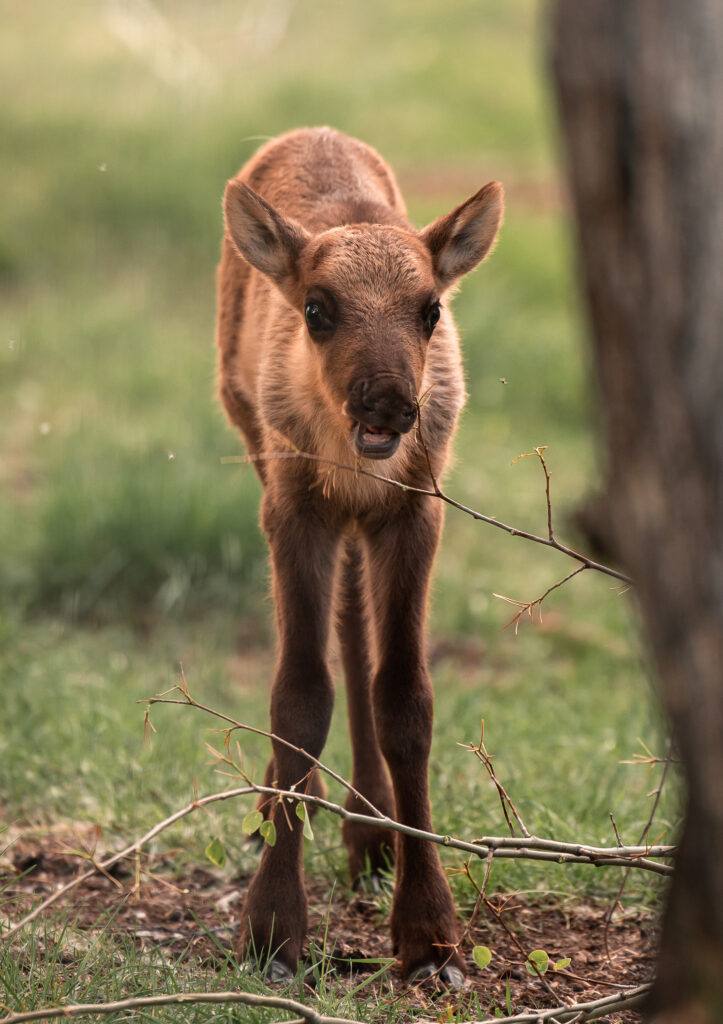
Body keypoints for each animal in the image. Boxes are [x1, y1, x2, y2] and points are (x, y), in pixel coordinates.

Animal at [214, 128, 501, 983]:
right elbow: (297, 696)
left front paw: (429, 934)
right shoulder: (294, 504)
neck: (351, 462)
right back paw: (286, 805)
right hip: (251, 436)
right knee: (331, 633)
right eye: (317, 309)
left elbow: (405, 697)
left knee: (353, 629)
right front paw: (272, 928)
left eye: (430, 309)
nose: (390, 403)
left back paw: (367, 826)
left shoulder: (413, 509)